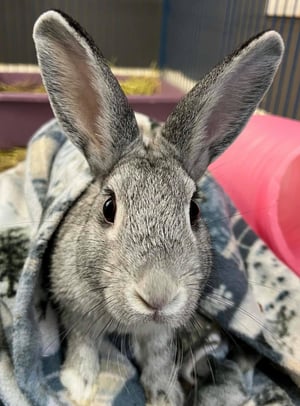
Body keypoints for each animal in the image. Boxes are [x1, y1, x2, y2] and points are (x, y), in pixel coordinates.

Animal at [32, 8, 284, 406]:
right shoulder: (74, 308)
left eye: (194, 211)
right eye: (108, 208)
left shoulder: (161, 333)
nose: (158, 295)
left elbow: (158, 357)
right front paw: (79, 385)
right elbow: (84, 342)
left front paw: (165, 395)